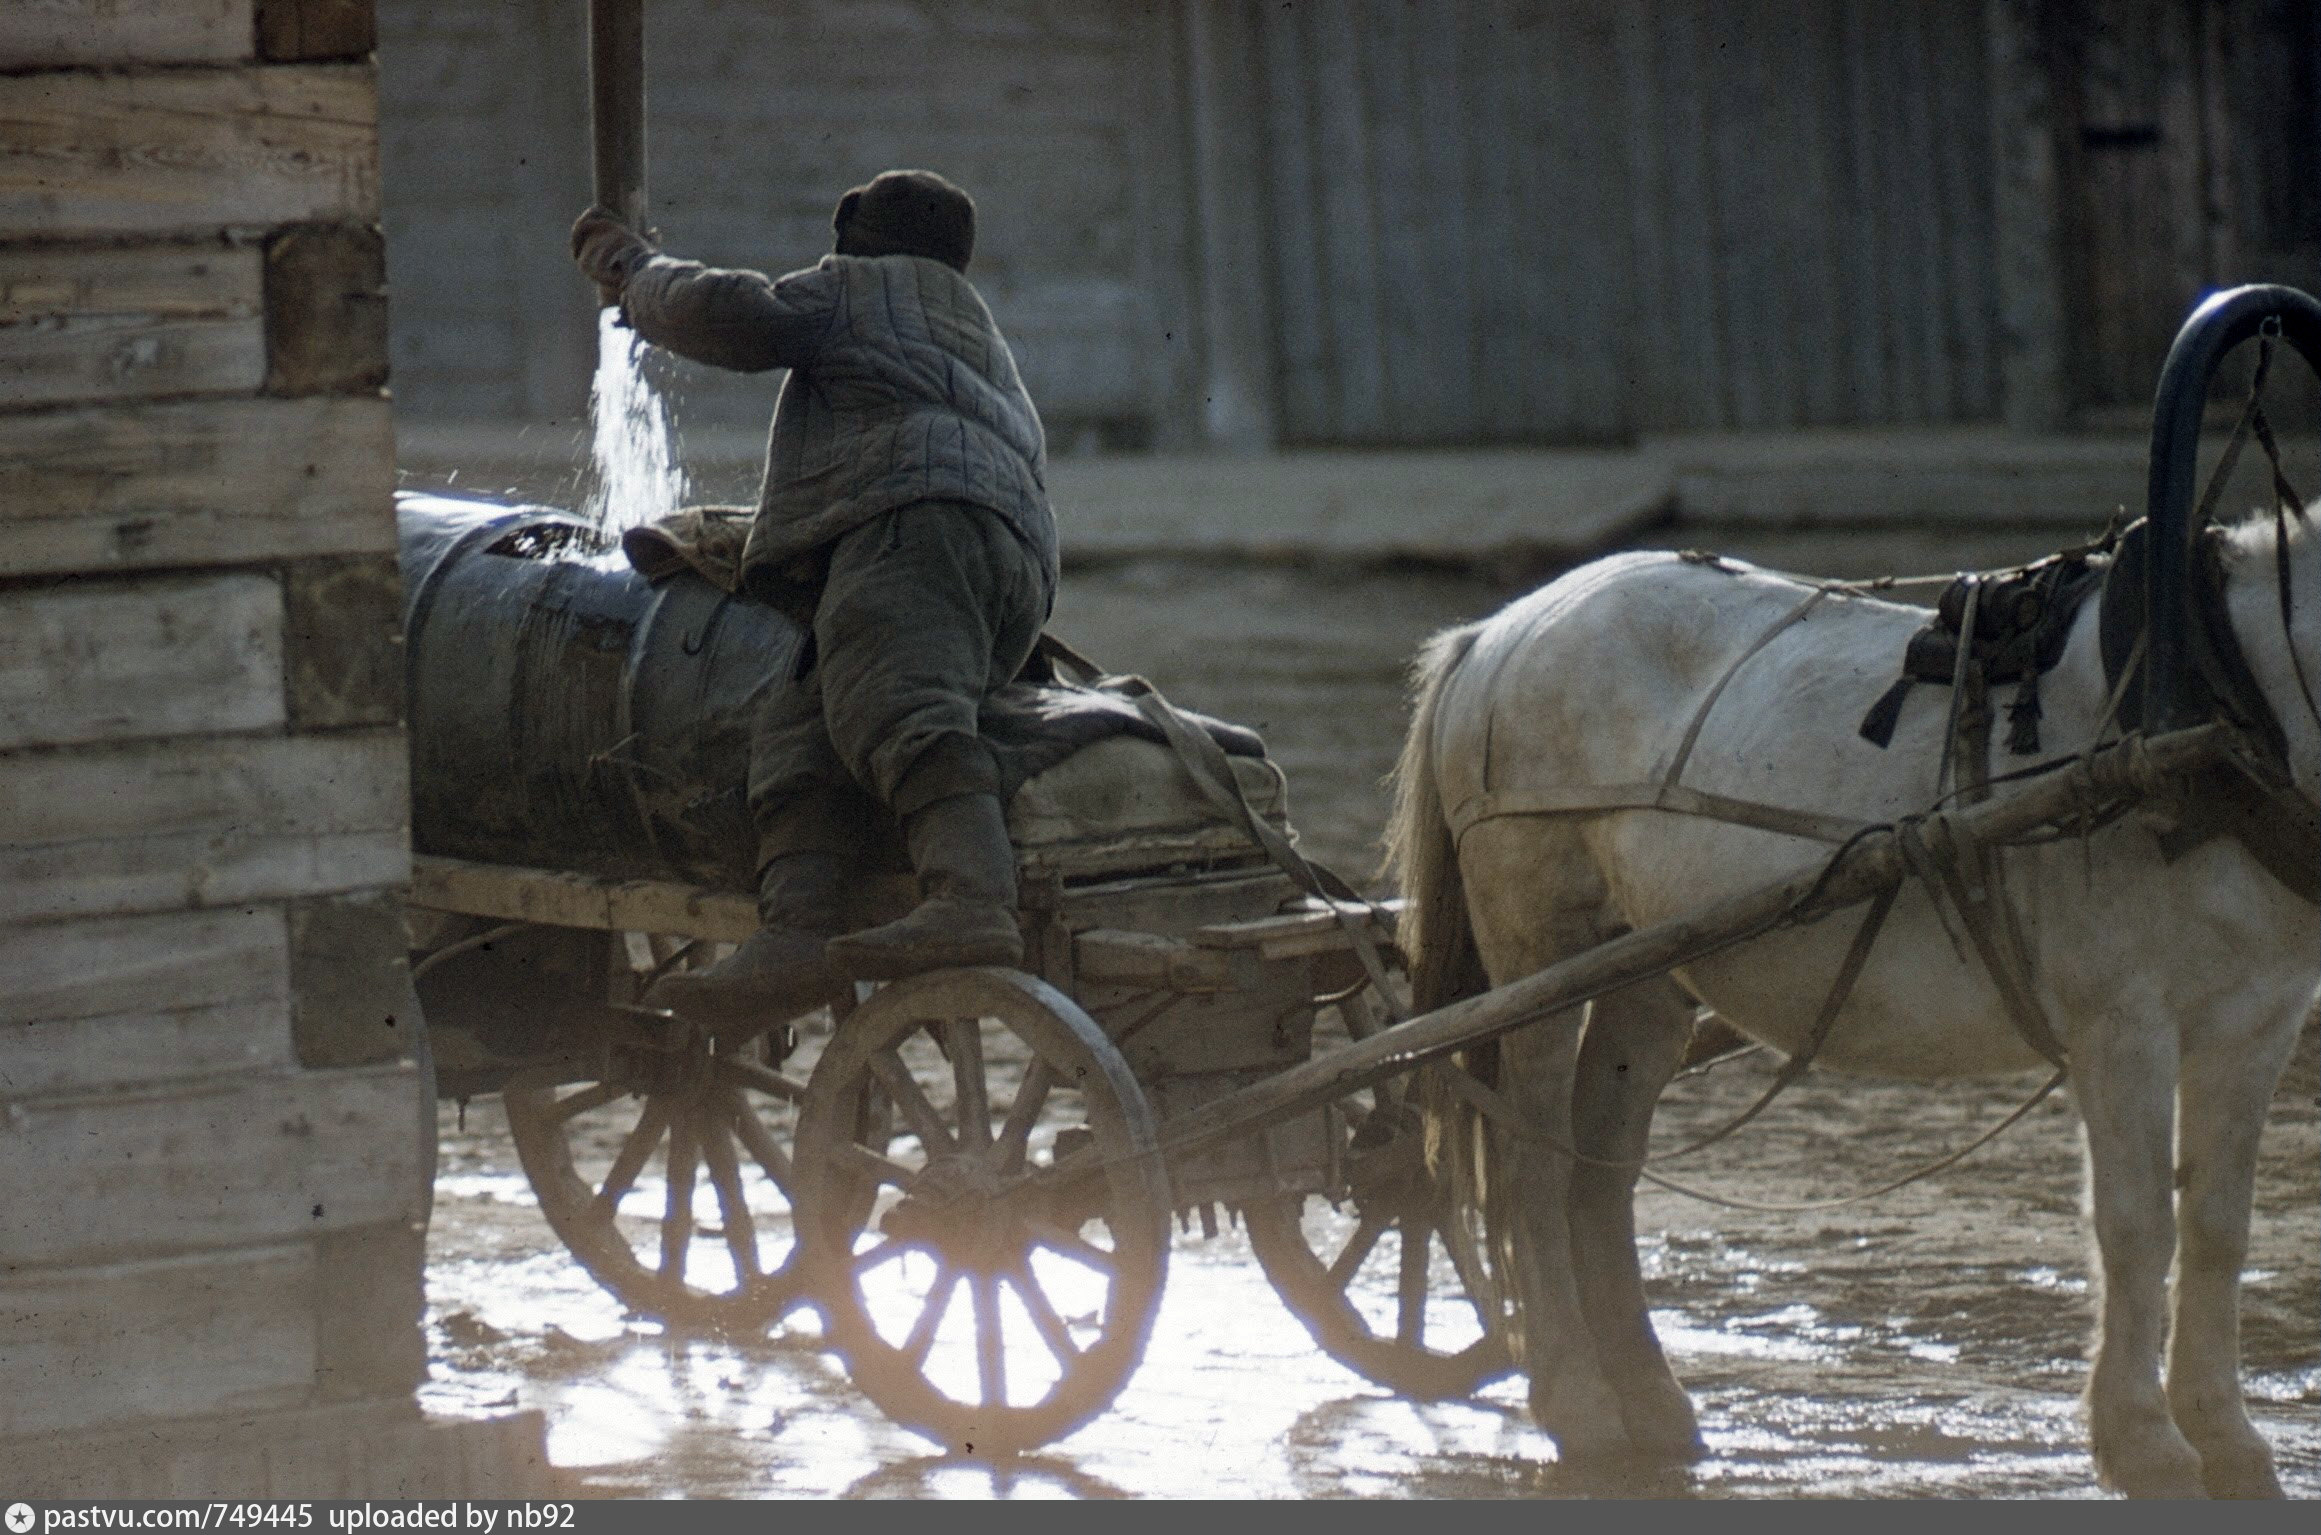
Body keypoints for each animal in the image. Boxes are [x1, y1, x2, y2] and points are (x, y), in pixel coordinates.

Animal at [1383, 508, 2311, 1486]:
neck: (2218, 701)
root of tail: (1497, 631)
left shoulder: (2258, 1021)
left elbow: (2217, 1227)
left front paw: (2225, 1435)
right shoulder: (2122, 1021)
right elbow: (2136, 1227)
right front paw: (2142, 1442)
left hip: (1642, 974)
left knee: (1597, 1175)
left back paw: (1650, 1403)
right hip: (1537, 954)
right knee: (1531, 1168)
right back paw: (1580, 1405)